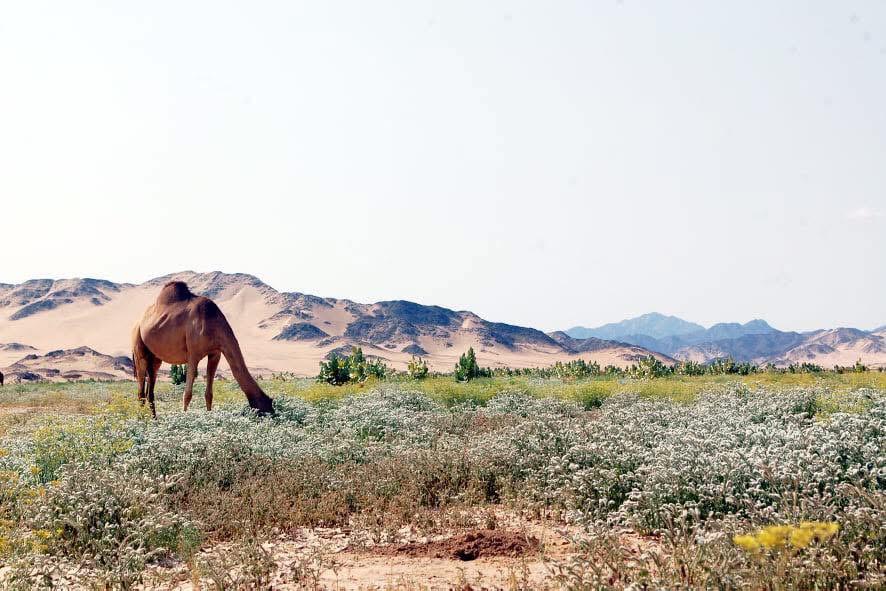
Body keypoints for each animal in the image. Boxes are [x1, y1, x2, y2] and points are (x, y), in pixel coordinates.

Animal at [132, 280, 274, 416]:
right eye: (266, 406)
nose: (273, 415)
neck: (214, 324)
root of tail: (139, 322)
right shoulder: (193, 354)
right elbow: (187, 394)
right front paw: (185, 418)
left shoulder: (215, 353)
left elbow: (209, 394)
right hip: (138, 345)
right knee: (141, 391)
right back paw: (141, 419)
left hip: (155, 358)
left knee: (150, 389)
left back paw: (154, 419)